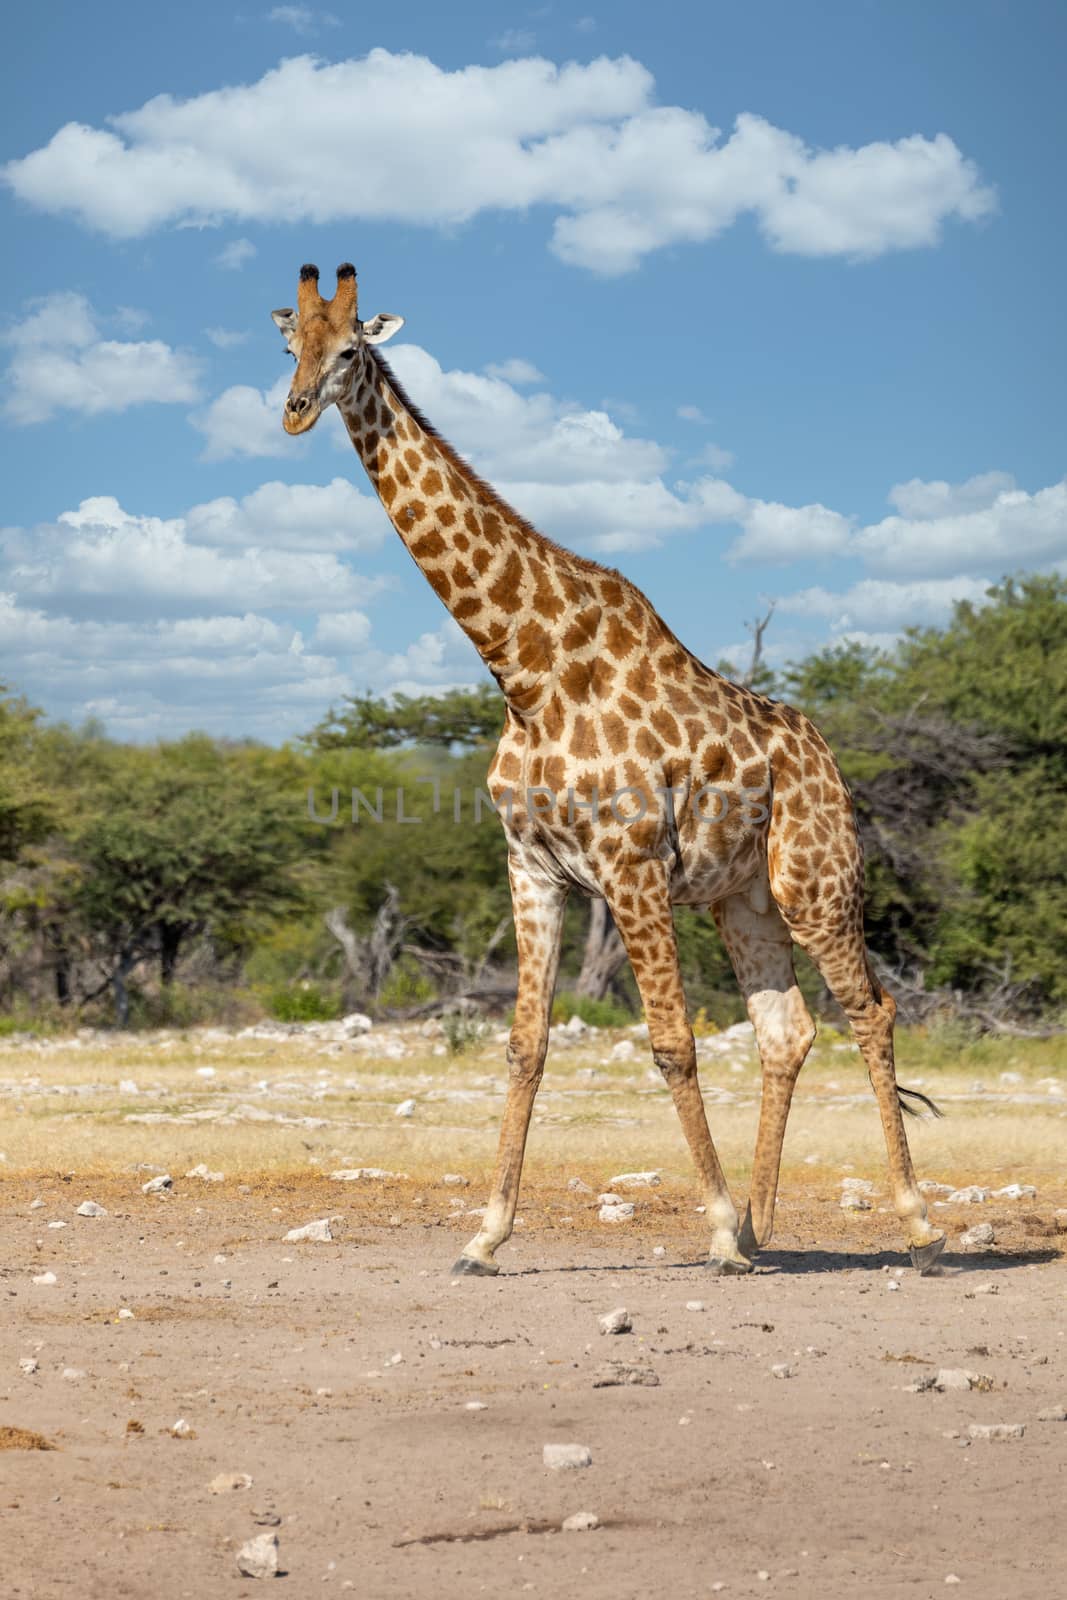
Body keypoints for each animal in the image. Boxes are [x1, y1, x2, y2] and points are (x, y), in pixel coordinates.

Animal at [271, 268, 947, 1280]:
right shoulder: (532, 867)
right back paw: (767, 1229)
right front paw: (484, 1236)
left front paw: (714, 1231)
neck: (524, 671)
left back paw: (914, 1223)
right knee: (786, 1030)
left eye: (350, 346)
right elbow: (524, 1046)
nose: (295, 409)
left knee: (873, 1010)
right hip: (741, 898)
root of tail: (827, 757)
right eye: (287, 346)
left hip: (815, 878)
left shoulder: (629, 867)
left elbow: (670, 1043)